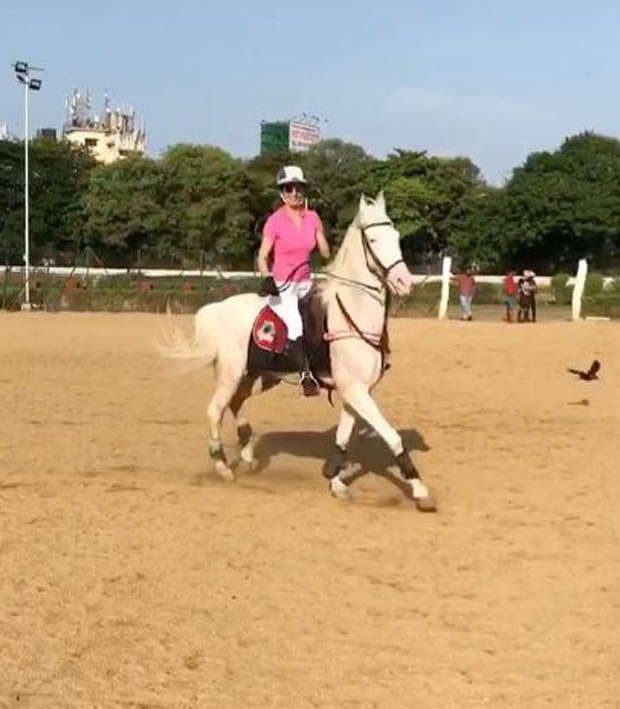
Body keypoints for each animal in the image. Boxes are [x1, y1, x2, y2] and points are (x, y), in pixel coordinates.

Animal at [163, 194, 436, 512]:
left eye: (396, 236)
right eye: (373, 238)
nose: (406, 282)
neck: (352, 312)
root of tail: (216, 308)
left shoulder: (356, 391)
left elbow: (343, 437)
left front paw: (335, 480)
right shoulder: (356, 390)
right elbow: (392, 437)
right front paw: (420, 490)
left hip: (259, 377)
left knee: (235, 403)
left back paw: (247, 454)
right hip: (230, 374)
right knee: (215, 410)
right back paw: (223, 468)